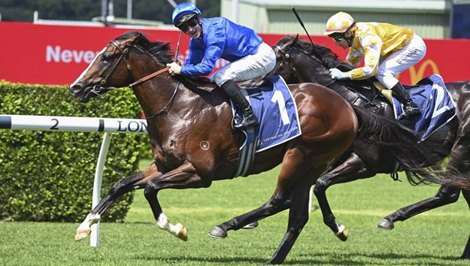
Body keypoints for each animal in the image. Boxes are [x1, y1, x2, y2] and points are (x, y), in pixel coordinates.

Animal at [69, 31, 466, 264]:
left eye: (106, 58)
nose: (76, 87)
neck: (180, 105)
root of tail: (347, 106)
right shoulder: (166, 165)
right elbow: (122, 184)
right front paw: (86, 226)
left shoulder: (199, 173)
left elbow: (150, 190)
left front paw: (176, 227)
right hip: (311, 162)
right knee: (298, 211)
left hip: (302, 156)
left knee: (282, 201)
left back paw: (228, 225)